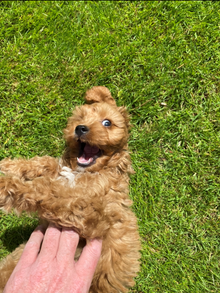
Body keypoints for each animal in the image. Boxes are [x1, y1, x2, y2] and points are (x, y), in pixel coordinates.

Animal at [0, 86, 141, 292]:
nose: (80, 128)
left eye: (107, 123)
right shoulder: (62, 171)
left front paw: (4, 185)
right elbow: (45, 162)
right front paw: (11, 165)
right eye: (80, 118)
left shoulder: (86, 210)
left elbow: (46, 188)